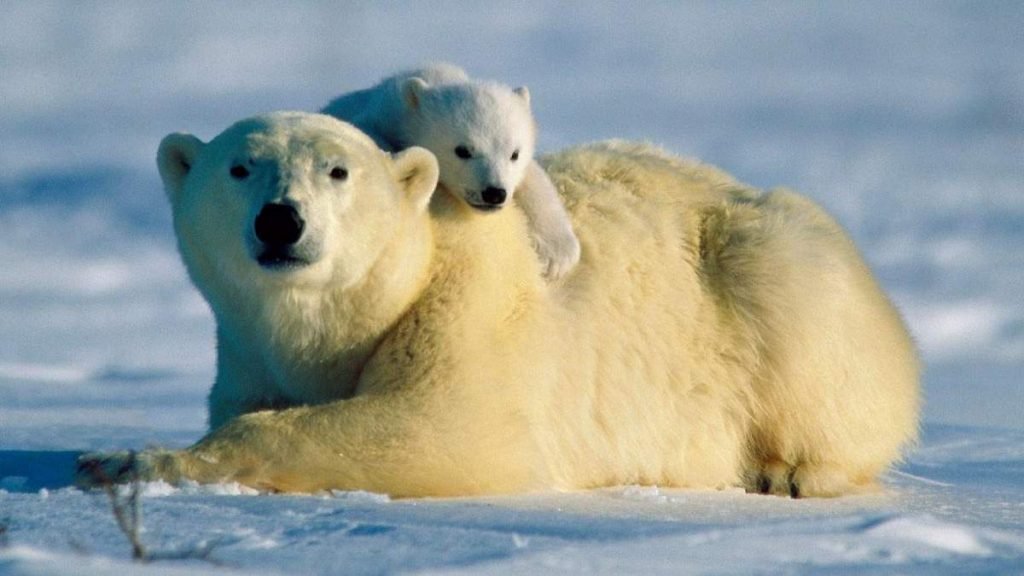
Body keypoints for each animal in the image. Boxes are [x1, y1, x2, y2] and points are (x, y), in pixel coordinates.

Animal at [77, 113, 921, 498]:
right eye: (240, 167)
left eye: (338, 171)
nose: (280, 220)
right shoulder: (248, 352)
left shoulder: (467, 306)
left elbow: (443, 425)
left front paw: (125, 458)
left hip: (772, 265)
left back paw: (789, 470)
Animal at [323, 62, 581, 278]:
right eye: (462, 150)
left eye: (514, 154)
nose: (494, 193)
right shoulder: (379, 115)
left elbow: (535, 178)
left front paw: (557, 255)